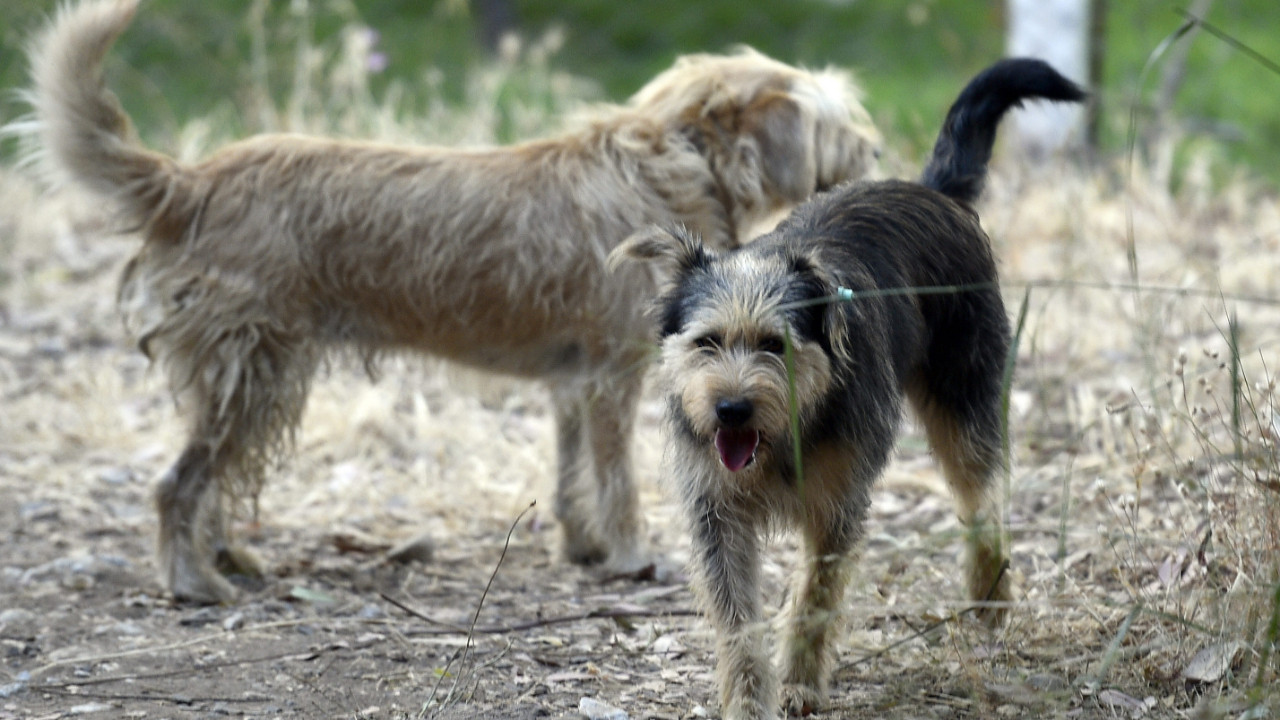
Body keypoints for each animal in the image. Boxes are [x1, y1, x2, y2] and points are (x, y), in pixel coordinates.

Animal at [20, 0, 880, 599]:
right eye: (837, 123)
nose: (876, 152)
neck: (669, 157)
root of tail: (190, 182)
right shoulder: (612, 377)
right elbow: (616, 479)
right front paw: (633, 557)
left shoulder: (571, 383)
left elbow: (571, 477)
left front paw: (583, 549)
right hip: (254, 373)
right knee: (178, 483)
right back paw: (193, 581)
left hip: (258, 380)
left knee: (215, 482)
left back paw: (228, 555)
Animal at [609, 58, 1080, 712]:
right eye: (707, 343)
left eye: (774, 345)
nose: (730, 409)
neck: (786, 436)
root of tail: (931, 191)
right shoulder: (716, 515)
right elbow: (737, 619)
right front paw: (749, 699)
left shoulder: (838, 505)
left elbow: (814, 596)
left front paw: (800, 685)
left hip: (965, 400)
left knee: (982, 497)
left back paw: (989, 593)